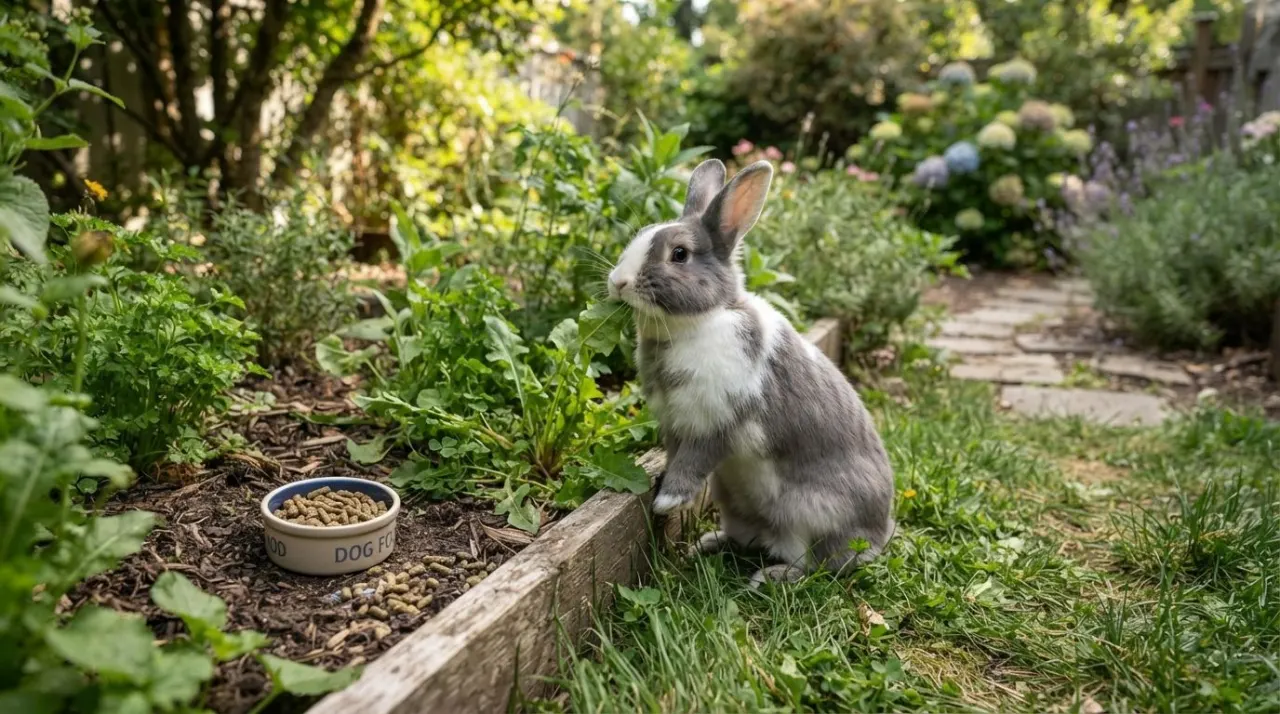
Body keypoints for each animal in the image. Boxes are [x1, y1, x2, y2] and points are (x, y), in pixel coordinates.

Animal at [606, 158, 896, 587]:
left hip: (812, 511)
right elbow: (675, 455)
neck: (702, 320)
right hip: (732, 497)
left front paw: (666, 502)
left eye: (680, 254)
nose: (618, 282)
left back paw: (772, 576)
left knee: (819, 565)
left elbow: (693, 462)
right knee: (749, 537)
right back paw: (706, 544)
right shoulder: (675, 424)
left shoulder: (715, 422)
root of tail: (878, 534)